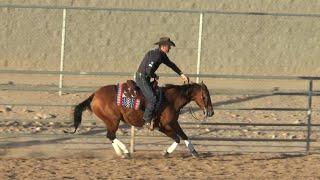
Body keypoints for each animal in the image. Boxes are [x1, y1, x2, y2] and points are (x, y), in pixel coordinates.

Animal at [69, 80, 214, 158]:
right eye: (205, 96)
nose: (211, 112)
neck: (171, 99)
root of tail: (94, 95)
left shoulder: (169, 124)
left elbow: (182, 136)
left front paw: (193, 152)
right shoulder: (166, 125)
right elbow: (178, 138)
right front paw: (167, 152)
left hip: (111, 121)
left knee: (110, 136)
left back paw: (122, 152)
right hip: (113, 120)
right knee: (111, 135)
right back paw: (125, 152)